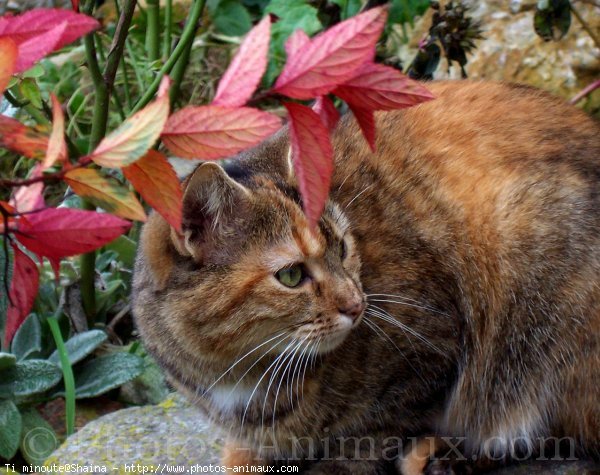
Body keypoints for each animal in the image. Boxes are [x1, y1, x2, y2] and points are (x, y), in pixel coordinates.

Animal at [131, 80, 600, 474]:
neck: (239, 374)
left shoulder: (426, 352)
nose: (357, 305)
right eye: (291, 275)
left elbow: (369, 439)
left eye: (342, 248)